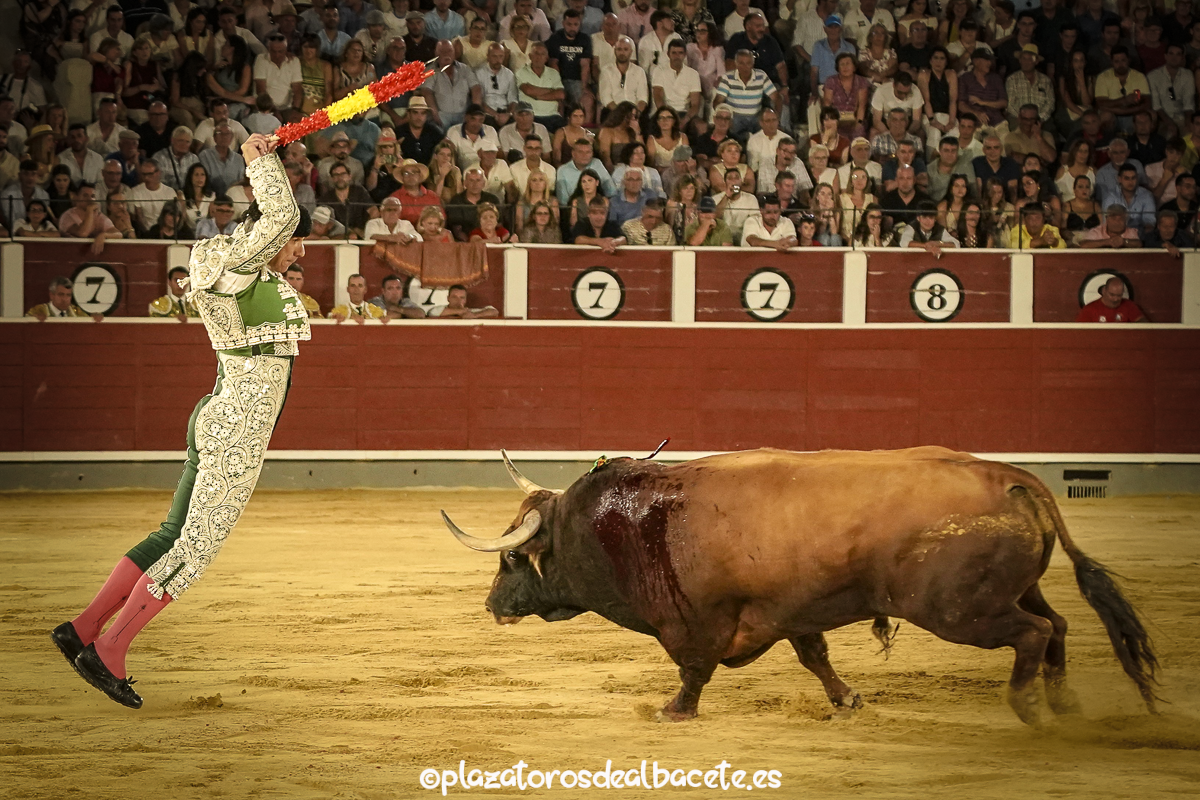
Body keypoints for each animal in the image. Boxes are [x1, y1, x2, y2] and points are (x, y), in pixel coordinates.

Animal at [442, 447, 1158, 726]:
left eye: (514, 557)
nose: (492, 605)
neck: (632, 524)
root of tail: (1010, 477)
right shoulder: (794, 611)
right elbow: (816, 656)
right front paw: (847, 700)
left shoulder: (697, 622)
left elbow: (693, 670)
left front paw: (674, 711)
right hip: (1008, 591)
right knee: (1057, 625)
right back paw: (1063, 704)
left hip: (962, 611)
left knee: (1033, 634)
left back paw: (1030, 708)